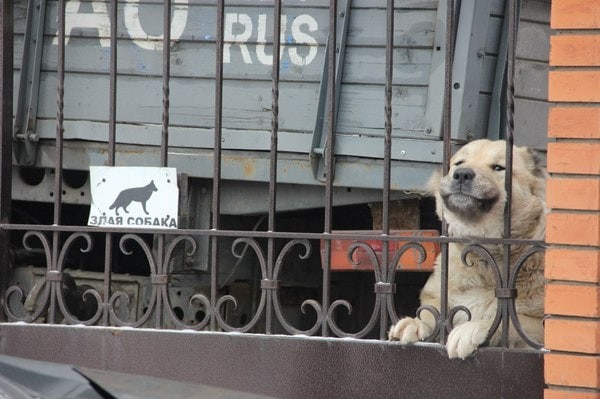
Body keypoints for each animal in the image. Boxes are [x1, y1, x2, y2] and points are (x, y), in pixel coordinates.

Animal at [386, 140, 548, 360]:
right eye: (459, 163)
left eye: (498, 167)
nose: (462, 174)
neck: (483, 255)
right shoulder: (435, 296)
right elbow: (430, 312)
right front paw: (414, 323)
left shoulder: (541, 325)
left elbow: (507, 321)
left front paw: (469, 330)